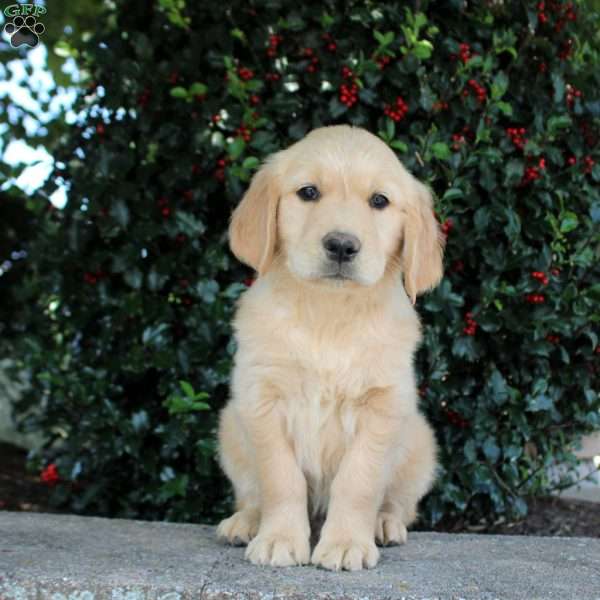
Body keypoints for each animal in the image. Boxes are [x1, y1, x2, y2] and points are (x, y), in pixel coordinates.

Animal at [218, 124, 442, 568]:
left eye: (379, 201)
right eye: (308, 192)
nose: (341, 245)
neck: (329, 314)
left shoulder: (382, 406)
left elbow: (359, 481)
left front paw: (345, 543)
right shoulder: (261, 399)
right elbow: (280, 477)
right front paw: (280, 539)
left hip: (420, 443)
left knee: (399, 503)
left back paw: (384, 525)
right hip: (230, 426)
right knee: (251, 492)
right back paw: (245, 522)